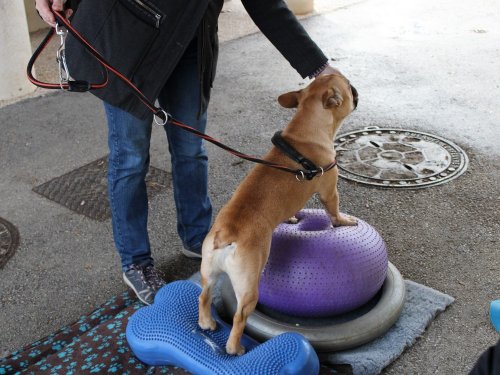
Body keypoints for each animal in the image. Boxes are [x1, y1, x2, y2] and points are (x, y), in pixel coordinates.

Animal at [197, 73, 358, 356]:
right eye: (348, 86)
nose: (355, 88)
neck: (306, 128)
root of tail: (226, 234)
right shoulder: (330, 191)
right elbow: (334, 212)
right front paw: (344, 221)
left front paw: (292, 219)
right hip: (249, 286)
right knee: (240, 316)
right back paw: (236, 348)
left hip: (209, 270)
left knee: (204, 295)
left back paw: (206, 322)